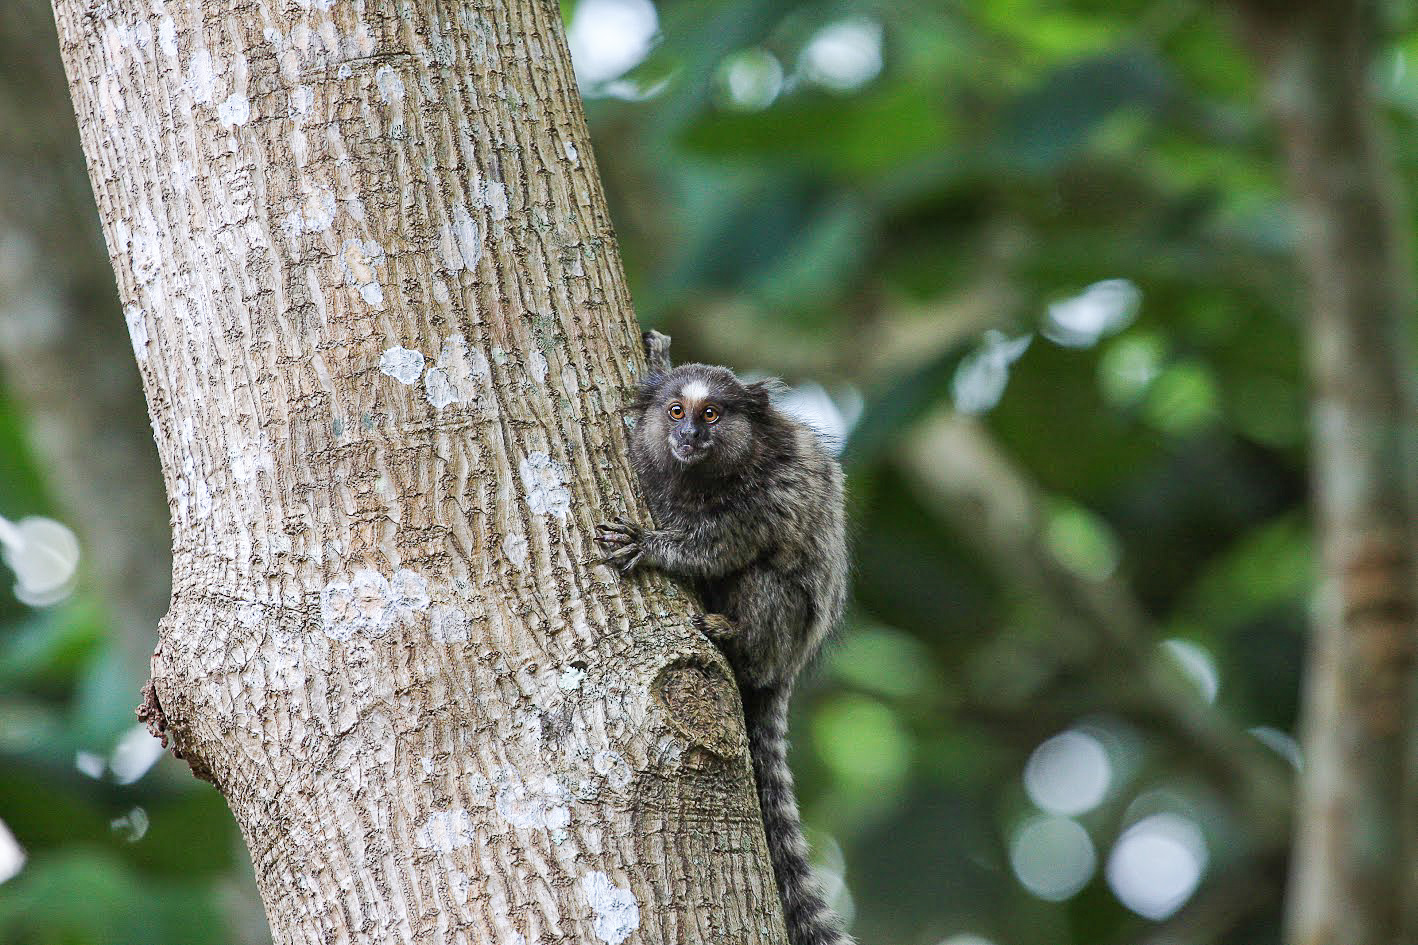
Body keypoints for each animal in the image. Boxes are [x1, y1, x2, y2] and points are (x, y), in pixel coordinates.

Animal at [596, 330, 853, 945]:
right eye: (676, 411)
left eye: (711, 414)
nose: (690, 434)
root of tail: (791, 665)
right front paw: (658, 354)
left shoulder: (763, 498)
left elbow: (717, 548)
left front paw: (651, 546)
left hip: (782, 632)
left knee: (765, 580)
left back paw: (731, 636)